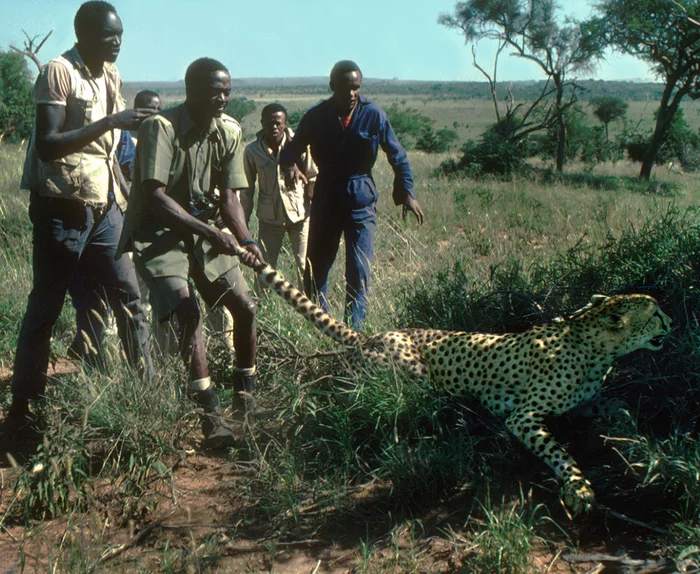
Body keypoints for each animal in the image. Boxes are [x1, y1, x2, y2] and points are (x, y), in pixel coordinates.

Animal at [246, 254, 672, 516]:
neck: (593, 344)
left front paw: (639, 439)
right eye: (654, 313)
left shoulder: (583, 401)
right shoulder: (523, 415)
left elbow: (617, 407)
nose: (670, 322)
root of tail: (371, 335)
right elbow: (559, 451)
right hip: (412, 374)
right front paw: (579, 489)